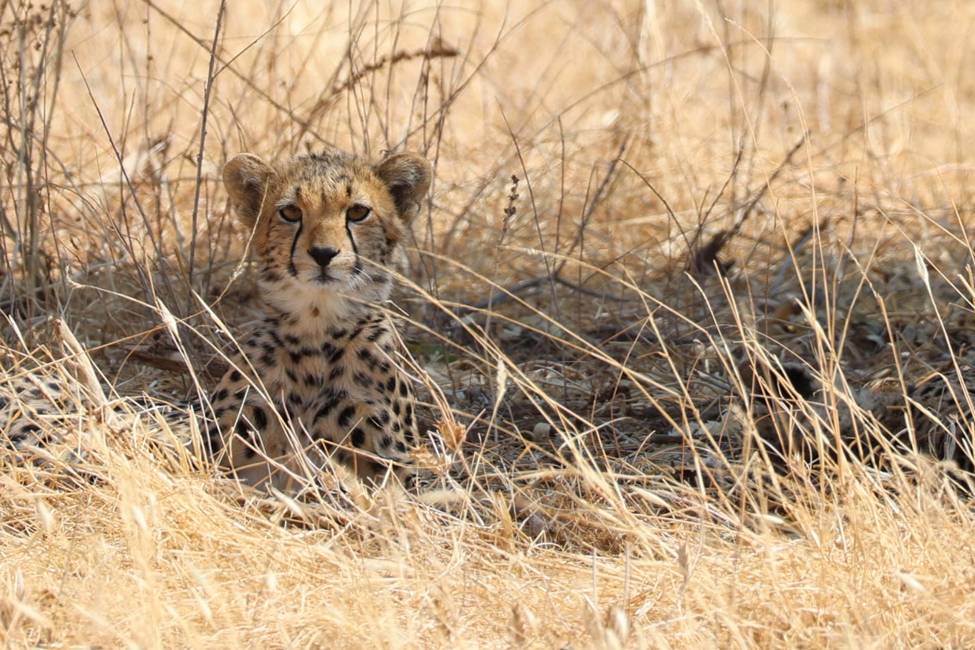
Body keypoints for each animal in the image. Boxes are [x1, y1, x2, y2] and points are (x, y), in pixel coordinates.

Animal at [0, 146, 432, 491]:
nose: (323, 253)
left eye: (358, 212)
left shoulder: (392, 466)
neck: (316, 327)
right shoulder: (213, 452)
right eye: (290, 212)